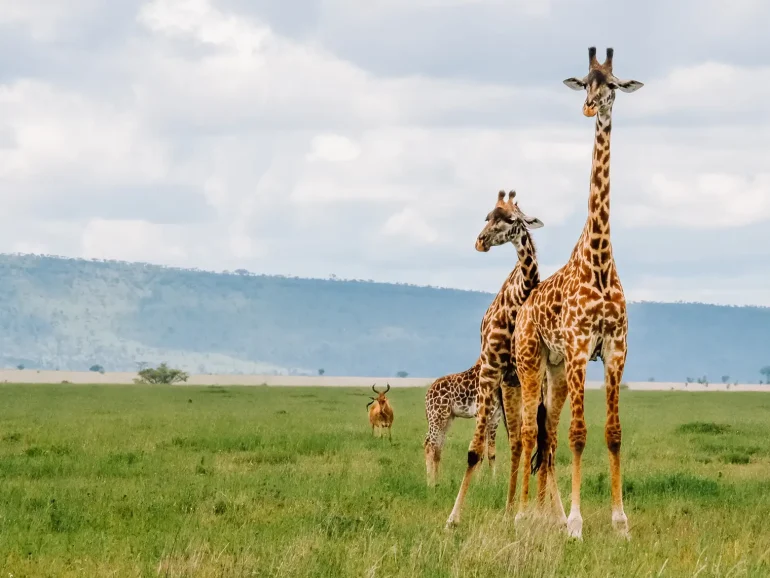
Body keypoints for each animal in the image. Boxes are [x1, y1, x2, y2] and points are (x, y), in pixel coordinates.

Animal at [440, 188, 544, 528]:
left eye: (511, 220)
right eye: (487, 216)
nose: (480, 241)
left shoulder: (522, 374)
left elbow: (527, 440)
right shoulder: (490, 370)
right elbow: (474, 451)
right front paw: (453, 518)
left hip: (514, 384)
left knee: (519, 442)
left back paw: (513, 507)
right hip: (502, 384)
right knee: (511, 442)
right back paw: (509, 507)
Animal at [510, 47, 640, 536]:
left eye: (614, 84)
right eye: (585, 81)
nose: (589, 107)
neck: (599, 262)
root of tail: (526, 306)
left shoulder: (616, 349)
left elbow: (612, 433)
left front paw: (620, 522)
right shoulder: (584, 349)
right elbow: (579, 435)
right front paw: (577, 524)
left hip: (557, 368)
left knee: (546, 431)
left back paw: (547, 513)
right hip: (530, 361)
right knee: (531, 431)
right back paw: (523, 515)